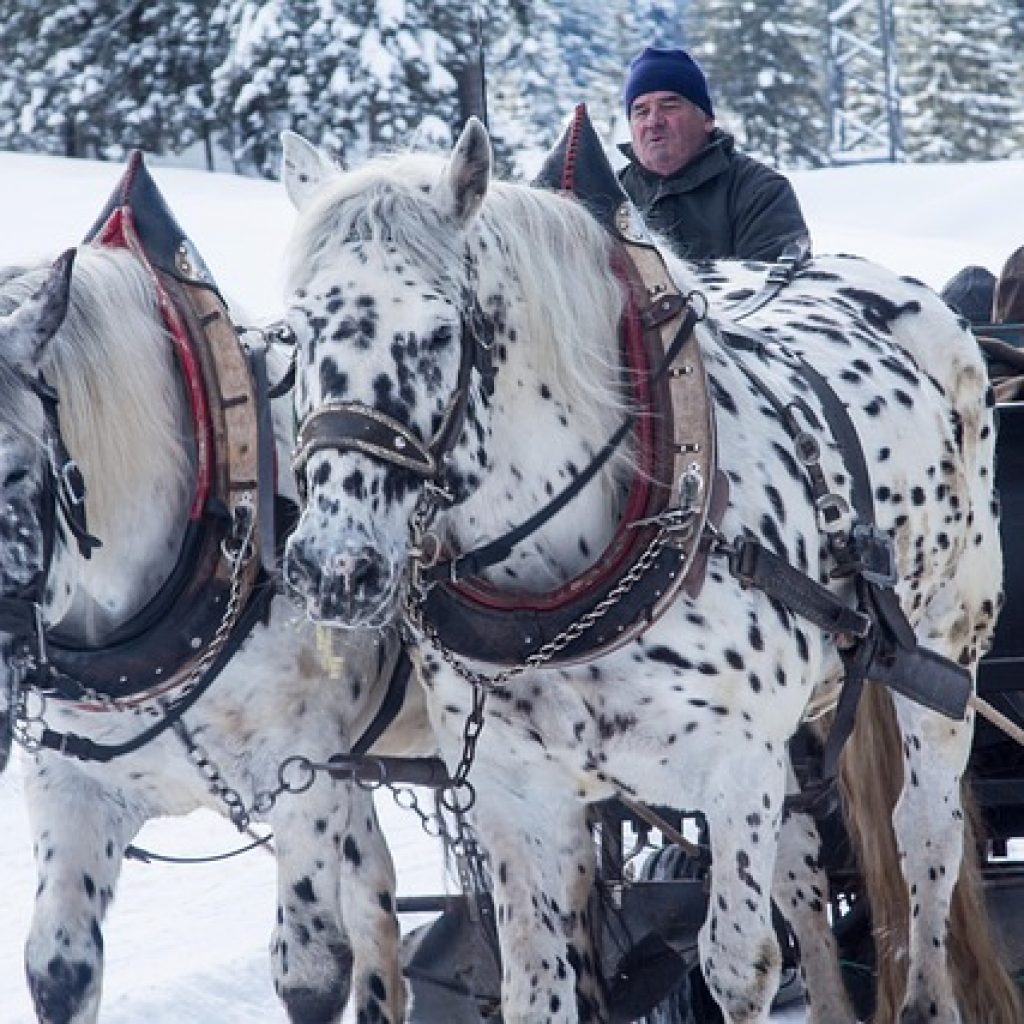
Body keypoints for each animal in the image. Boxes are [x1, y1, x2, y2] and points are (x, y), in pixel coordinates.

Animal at [278, 119, 1024, 1024]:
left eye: (434, 335)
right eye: (291, 336)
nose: (333, 567)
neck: (555, 600)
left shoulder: (735, 765)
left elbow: (740, 966)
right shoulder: (518, 794)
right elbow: (537, 987)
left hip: (945, 651)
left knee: (924, 833)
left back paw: (925, 993)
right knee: (803, 870)